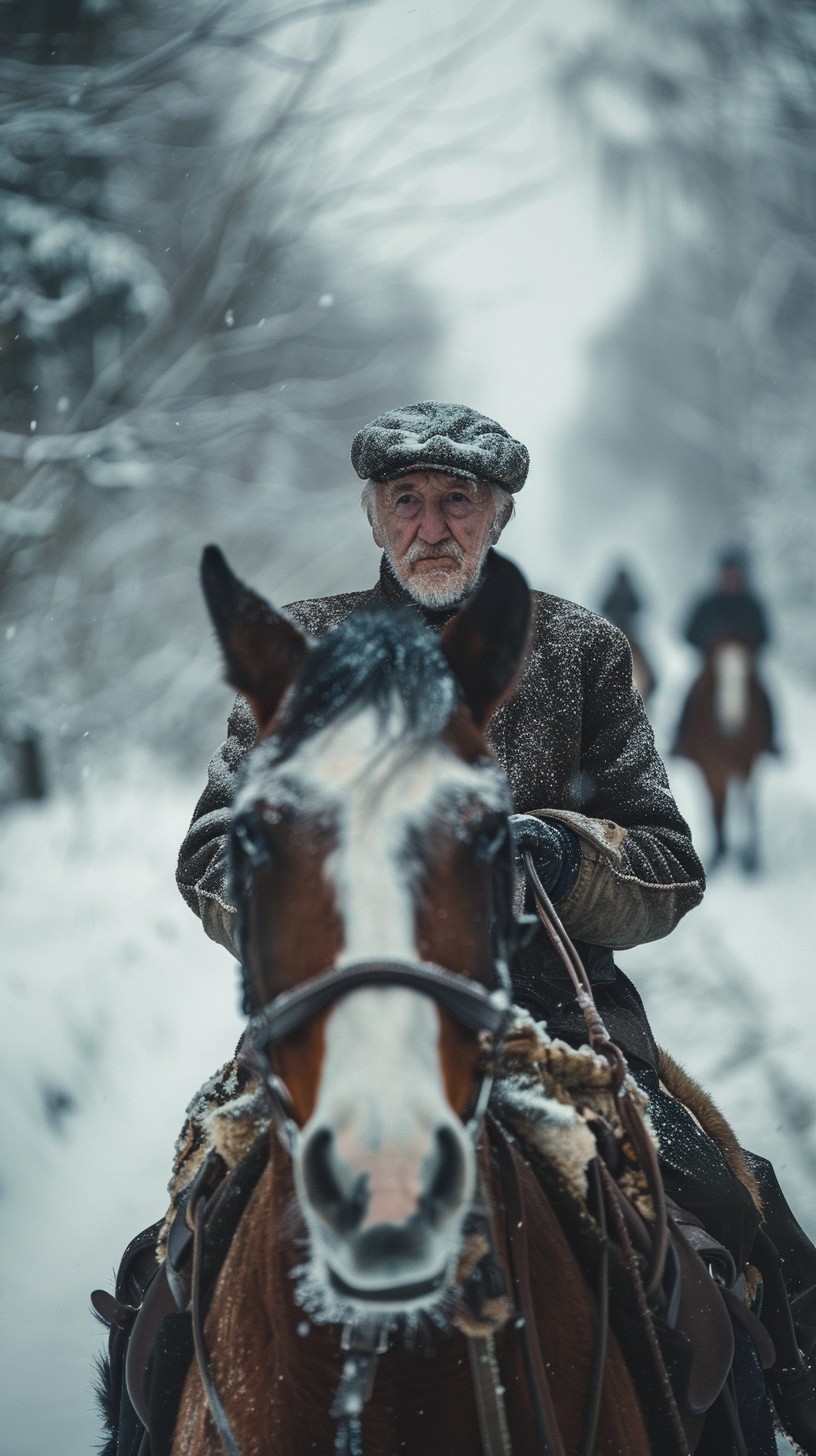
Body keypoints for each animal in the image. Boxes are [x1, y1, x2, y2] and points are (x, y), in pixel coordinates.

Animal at [672, 637, 776, 872]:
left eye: (748, 676)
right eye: (715, 676)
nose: (732, 718)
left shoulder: (747, 763)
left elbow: (748, 804)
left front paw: (750, 859)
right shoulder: (709, 769)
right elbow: (715, 808)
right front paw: (719, 853)